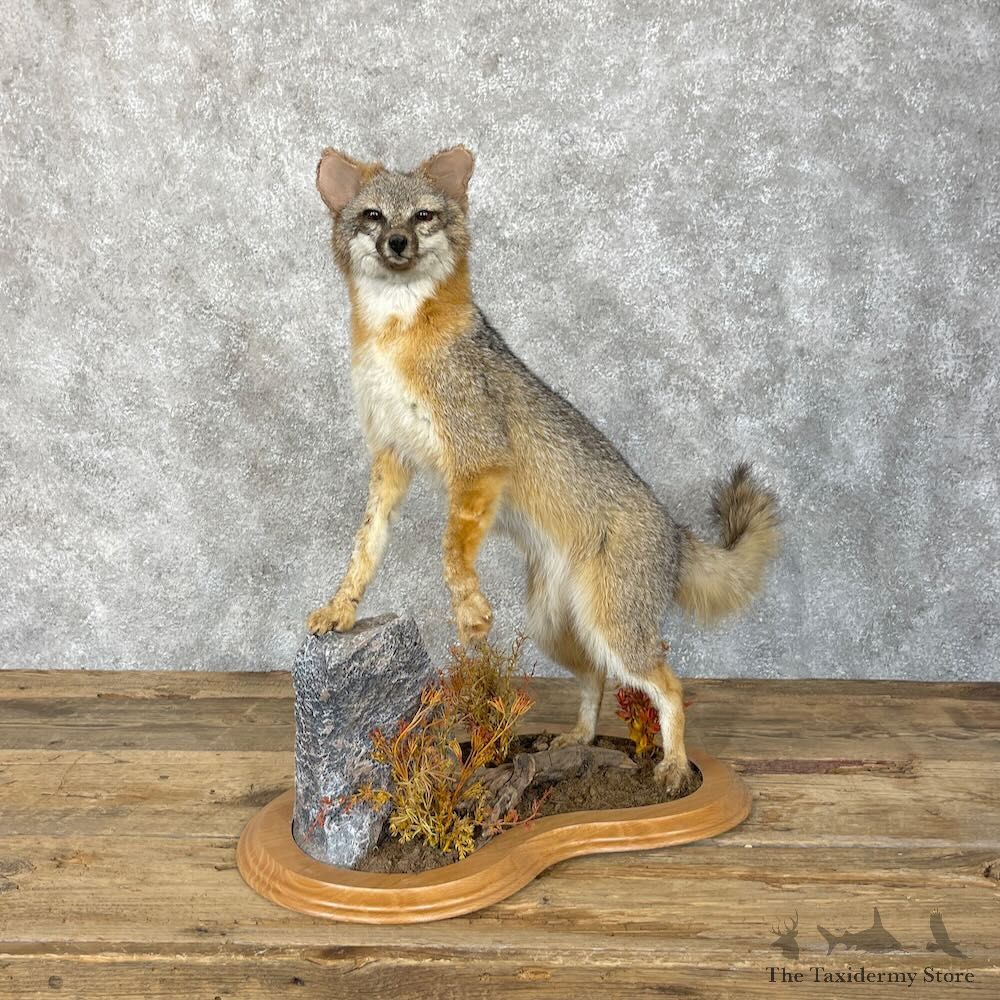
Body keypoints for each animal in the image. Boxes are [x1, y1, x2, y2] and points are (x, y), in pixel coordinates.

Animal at [307, 145, 779, 795]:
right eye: (373, 216)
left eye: (423, 216)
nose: (397, 242)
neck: (395, 336)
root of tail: (673, 530)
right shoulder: (391, 462)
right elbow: (365, 549)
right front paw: (342, 607)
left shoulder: (478, 458)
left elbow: (451, 550)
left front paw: (469, 611)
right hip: (558, 629)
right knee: (596, 679)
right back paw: (579, 739)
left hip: (616, 632)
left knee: (671, 687)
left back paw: (674, 765)